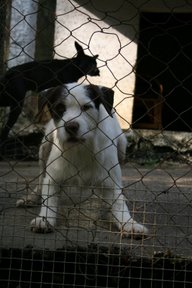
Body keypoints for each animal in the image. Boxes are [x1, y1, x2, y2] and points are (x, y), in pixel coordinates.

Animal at [17, 82, 148, 237]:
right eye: (60, 107)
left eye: (86, 107)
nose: (71, 126)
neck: (81, 148)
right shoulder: (52, 178)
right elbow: (48, 199)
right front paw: (44, 219)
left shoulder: (111, 182)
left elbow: (119, 203)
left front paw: (129, 223)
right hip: (45, 145)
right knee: (40, 178)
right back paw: (32, 197)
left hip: (122, 146)